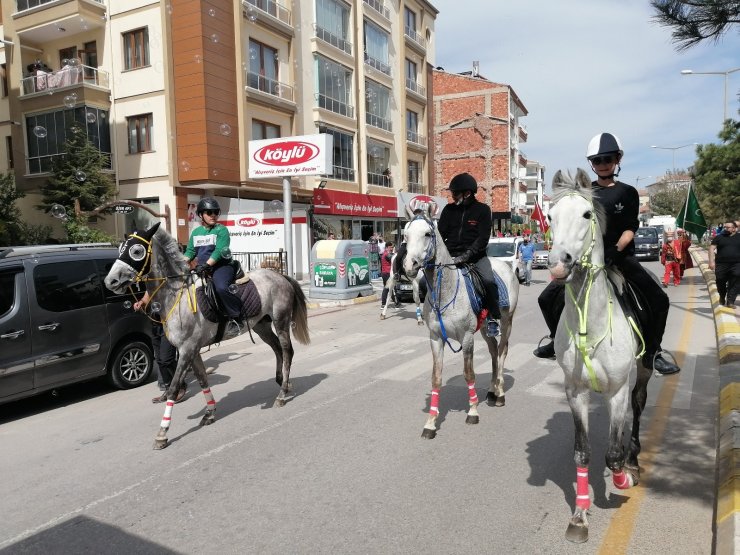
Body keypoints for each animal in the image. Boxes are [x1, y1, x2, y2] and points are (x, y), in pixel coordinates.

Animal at [104, 223, 310, 452]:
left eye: (137, 251)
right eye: (120, 248)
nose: (110, 281)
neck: (177, 297)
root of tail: (280, 276)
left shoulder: (186, 350)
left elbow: (173, 388)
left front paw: (162, 433)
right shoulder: (192, 351)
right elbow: (202, 380)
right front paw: (210, 413)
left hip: (280, 321)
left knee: (287, 350)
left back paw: (282, 394)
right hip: (262, 326)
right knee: (277, 349)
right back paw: (284, 382)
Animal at [402, 208, 516, 438]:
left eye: (427, 234)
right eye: (405, 235)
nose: (410, 266)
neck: (444, 291)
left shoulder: (467, 337)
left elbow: (469, 374)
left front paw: (472, 412)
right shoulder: (436, 338)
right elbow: (436, 378)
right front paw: (431, 423)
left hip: (507, 321)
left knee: (501, 352)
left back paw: (499, 393)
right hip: (485, 329)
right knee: (493, 351)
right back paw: (492, 390)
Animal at [548, 169, 652, 544]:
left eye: (586, 215)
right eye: (549, 217)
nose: (557, 264)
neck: (589, 325)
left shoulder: (616, 390)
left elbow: (612, 455)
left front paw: (623, 478)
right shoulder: (575, 391)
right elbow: (583, 452)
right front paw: (579, 517)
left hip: (644, 368)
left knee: (637, 405)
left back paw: (633, 459)